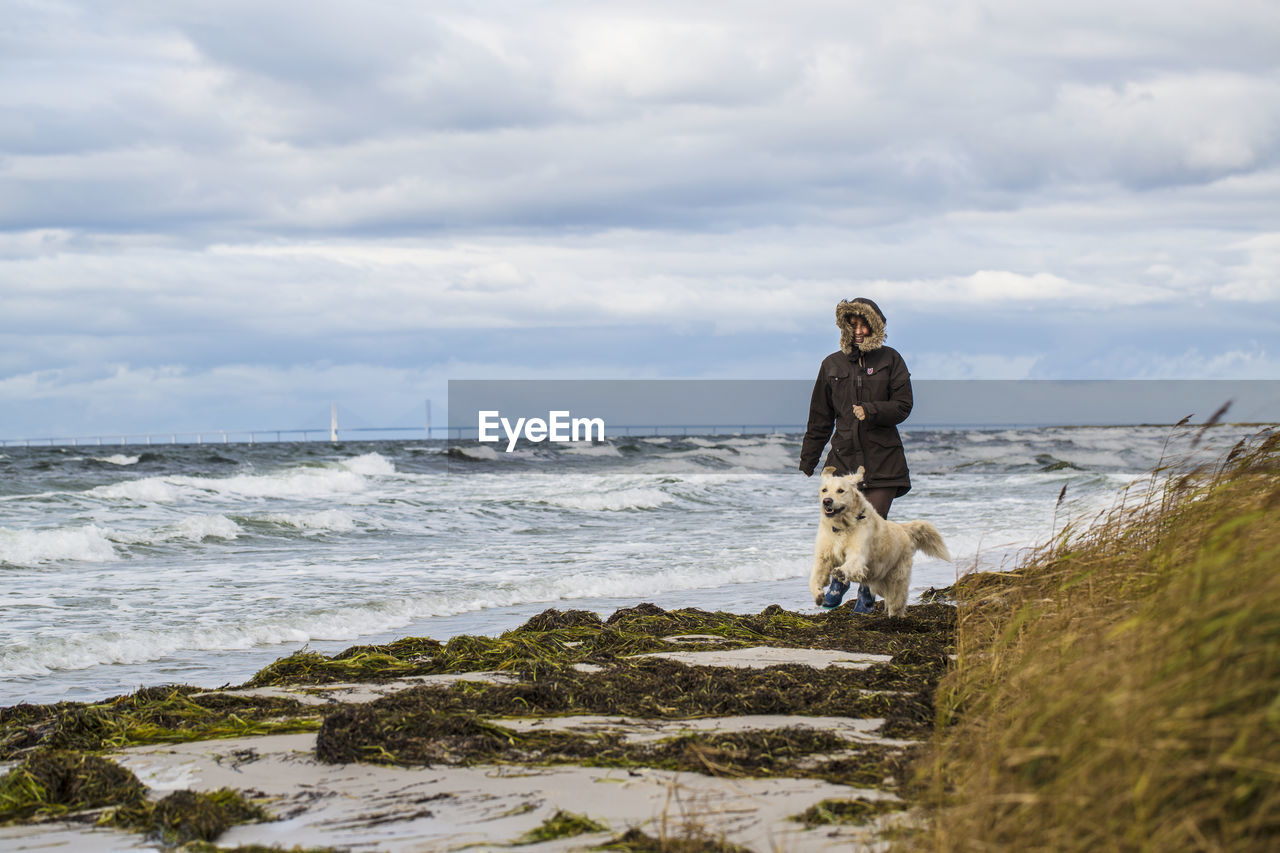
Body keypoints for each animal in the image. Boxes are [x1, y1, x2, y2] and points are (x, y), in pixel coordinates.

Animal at [808, 461, 952, 614]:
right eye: (824, 490)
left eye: (840, 490)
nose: (827, 501)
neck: (842, 526)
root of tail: (902, 529)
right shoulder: (823, 556)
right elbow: (814, 576)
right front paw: (818, 594)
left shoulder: (859, 553)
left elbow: (852, 563)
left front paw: (841, 572)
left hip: (897, 578)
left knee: (896, 601)